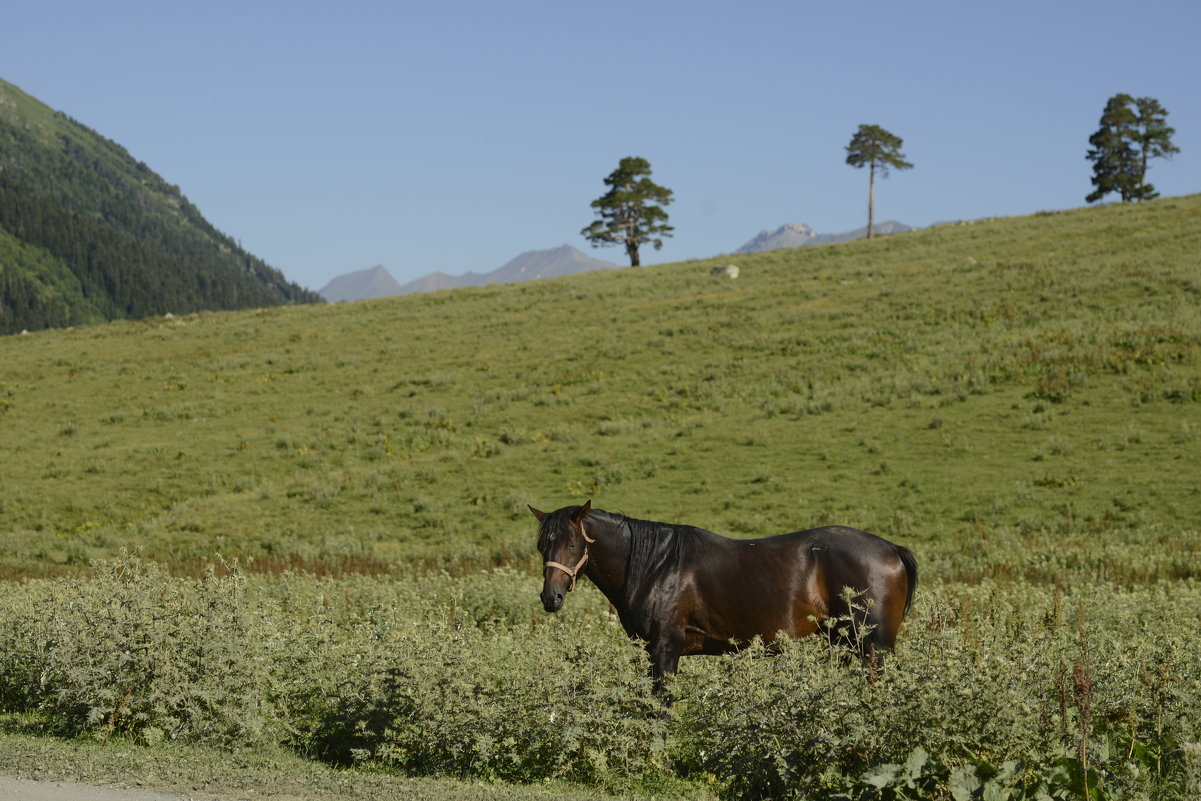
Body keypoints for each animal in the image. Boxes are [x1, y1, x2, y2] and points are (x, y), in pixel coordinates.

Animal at [530, 504, 912, 691]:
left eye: (572, 543)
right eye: (541, 545)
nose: (551, 597)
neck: (656, 564)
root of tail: (892, 548)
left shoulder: (664, 647)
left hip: (871, 648)